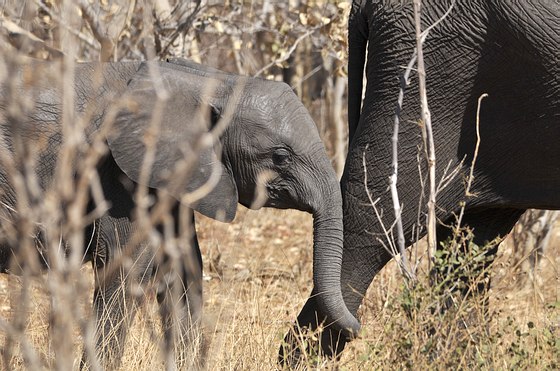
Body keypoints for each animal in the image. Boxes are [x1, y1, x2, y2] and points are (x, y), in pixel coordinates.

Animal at [0, 58, 358, 370]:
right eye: (280, 157)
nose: (356, 328)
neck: (207, 83)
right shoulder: (117, 172)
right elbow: (126, 264)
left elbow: (183, 268)